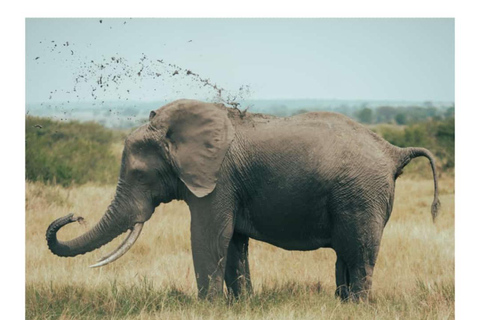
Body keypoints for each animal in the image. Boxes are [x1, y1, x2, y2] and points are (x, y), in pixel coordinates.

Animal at [46, 99, 438, 302]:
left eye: (140, 175)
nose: (73, 216)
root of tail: (393, 151)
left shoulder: (217, 179)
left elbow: (209, 235)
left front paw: (207, 307)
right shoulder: (227, 184)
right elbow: (232, 240)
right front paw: (241, 304)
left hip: (361, 195)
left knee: (359, 252)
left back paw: (357, 305)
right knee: (347, 253)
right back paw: (340, 304)